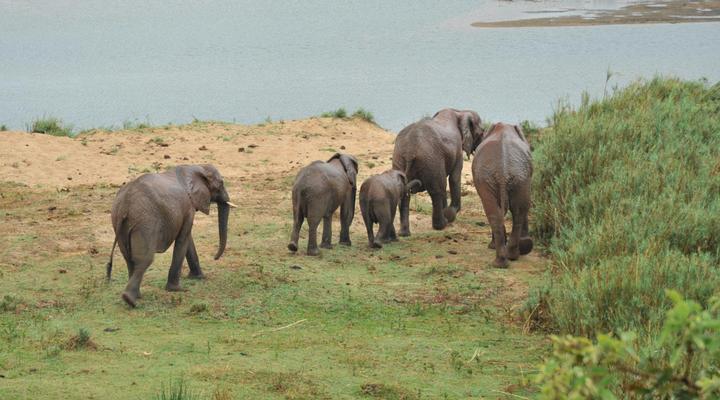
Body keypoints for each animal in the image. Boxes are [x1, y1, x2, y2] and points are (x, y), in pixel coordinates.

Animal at [106, 164, 236, 307]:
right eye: (221, 184)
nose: (215, 258)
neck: (197, 167)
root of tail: (124, 204)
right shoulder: (188, 206)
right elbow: (183, 239)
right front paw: (177, 290)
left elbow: (187, 240)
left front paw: (198, 278)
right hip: (145, 222)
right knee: (144, 259)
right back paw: (130, 300)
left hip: (118, 221)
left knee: (129, 258)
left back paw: (136, 296)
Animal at [472, 123, 533, 268]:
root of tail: (503, 171)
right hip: (518, 177)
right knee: (517, 210)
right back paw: (509, 257)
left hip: (504, 177)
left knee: (497, 213)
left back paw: (502, 260)